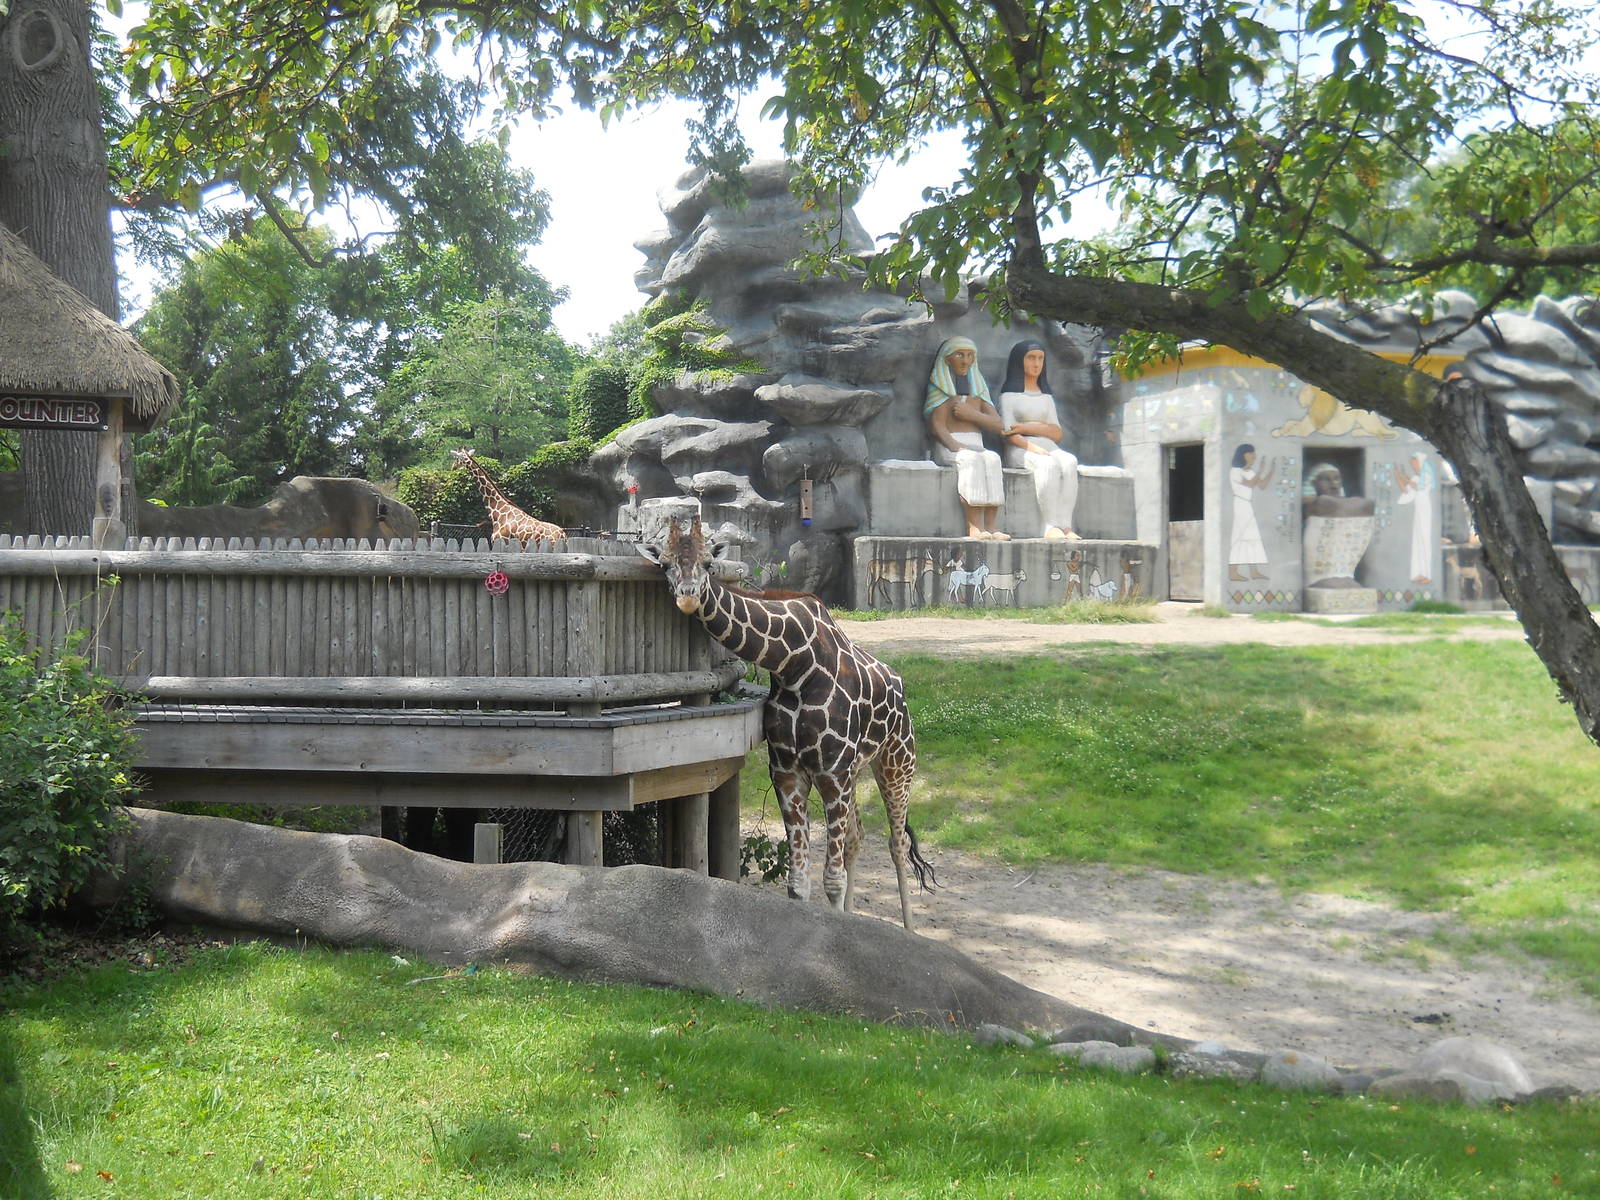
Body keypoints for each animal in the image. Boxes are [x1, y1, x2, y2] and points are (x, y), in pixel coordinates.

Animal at [640, 517, 935, 930]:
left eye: (708, 564)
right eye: (665, 564)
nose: (687, 596)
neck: (792, 664)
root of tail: (900, 688)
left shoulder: (831, 773)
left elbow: (831, 879)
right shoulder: (788, 772)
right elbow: (798, 881)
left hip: (897, 762)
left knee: (897, 843)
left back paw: (909, 930)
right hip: (857, 770)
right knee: (857, 837)